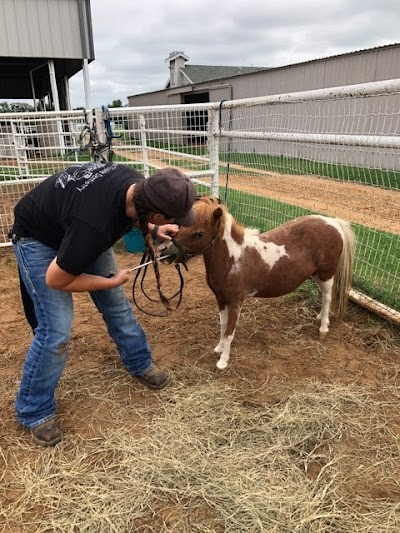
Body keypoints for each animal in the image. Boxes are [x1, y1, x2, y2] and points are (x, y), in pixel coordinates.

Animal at [161, 197, 354, 368]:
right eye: (179, 227)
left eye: (199, 234)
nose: (166, 254)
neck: (233, 258)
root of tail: (333, 222)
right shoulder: (221, 299)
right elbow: (223, 326)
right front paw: (218, 349)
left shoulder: (236, 302)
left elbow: (230, 331)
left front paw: (223, 362)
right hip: (316, 275)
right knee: (324, 297)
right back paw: (320, 318)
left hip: (326, 275)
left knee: (328, 298)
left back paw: (323, 329)